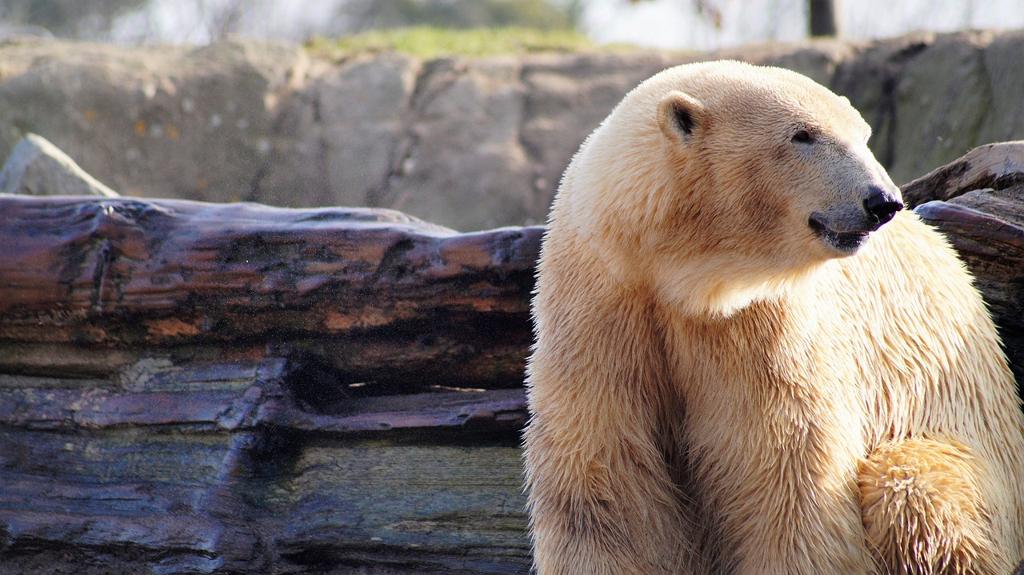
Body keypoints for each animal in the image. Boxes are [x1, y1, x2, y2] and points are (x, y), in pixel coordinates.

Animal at [524, 61, 1024, 572]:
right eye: (803, 135)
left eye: (862, 134)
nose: (882, 201)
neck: (680, 276)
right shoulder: (602, 303)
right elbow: (603, 479)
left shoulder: (765, 323)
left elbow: (784, 470)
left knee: (915, 493)